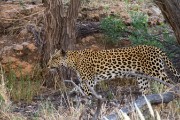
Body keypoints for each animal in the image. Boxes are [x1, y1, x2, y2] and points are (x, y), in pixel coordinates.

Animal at [47, 45, 179, 96]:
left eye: (54, 58)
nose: (47, 65)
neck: (73, 61)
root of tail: (155, 48)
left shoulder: (89, 82)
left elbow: (87, 95)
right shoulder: (85, 81)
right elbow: (76, 87)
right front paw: (68, 94)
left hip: (157, 73)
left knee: (172, 84)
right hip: (142, 78)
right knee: (146, 92)